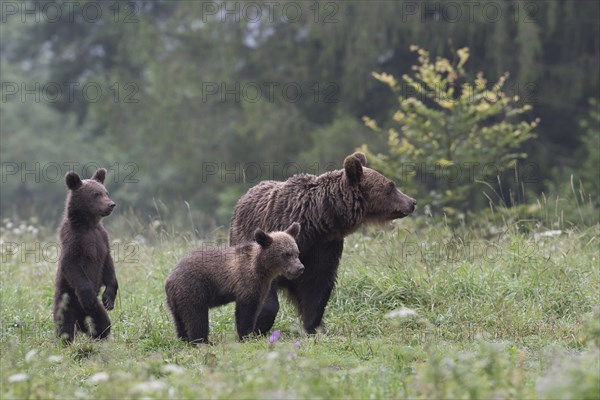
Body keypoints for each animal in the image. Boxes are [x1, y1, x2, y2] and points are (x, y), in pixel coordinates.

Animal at [227, 153, 414, 334]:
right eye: (391, 186)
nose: (412, 202)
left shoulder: (324, 247)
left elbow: (317, 287)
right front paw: (259, 325)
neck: (316, 221)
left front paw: (314, 327)